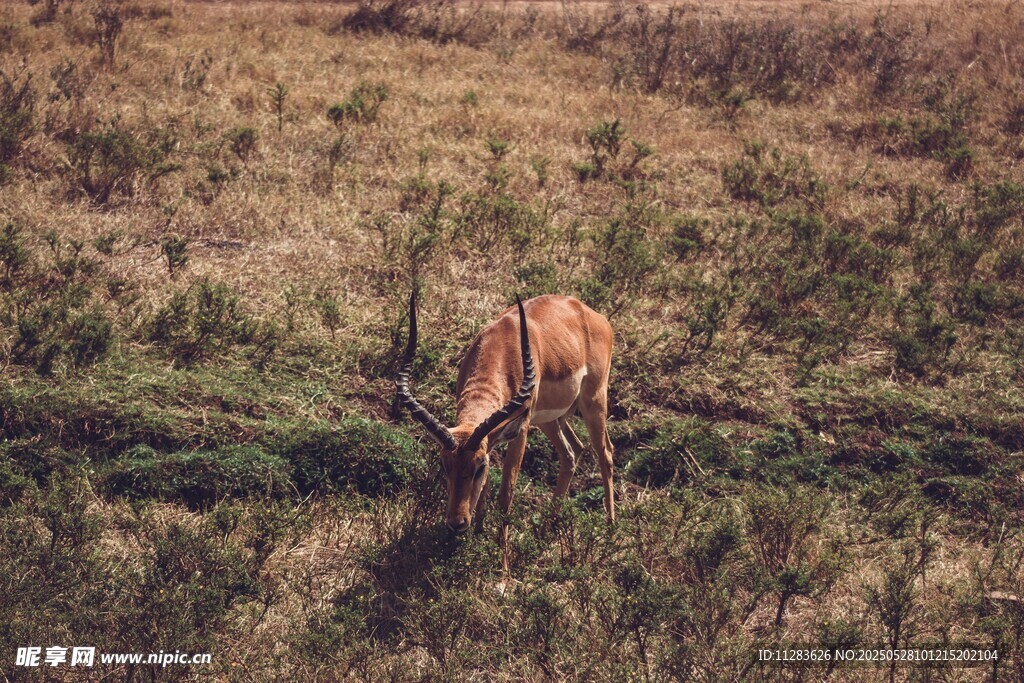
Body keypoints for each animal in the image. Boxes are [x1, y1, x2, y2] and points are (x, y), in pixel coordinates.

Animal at [395, 292, 615, 562]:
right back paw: (546, 530)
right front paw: (478, 534)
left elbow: (505, 493)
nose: (457, 523)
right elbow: (486, 489)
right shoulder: (493, 438)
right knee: (572, 451)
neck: (502, 345)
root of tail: (592, 314)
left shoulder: (519, 431)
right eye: (444, 464)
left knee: (605, 454)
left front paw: (502, 559)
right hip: (549, 419)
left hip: (593, 402)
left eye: (479, 466)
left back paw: (610, 531)